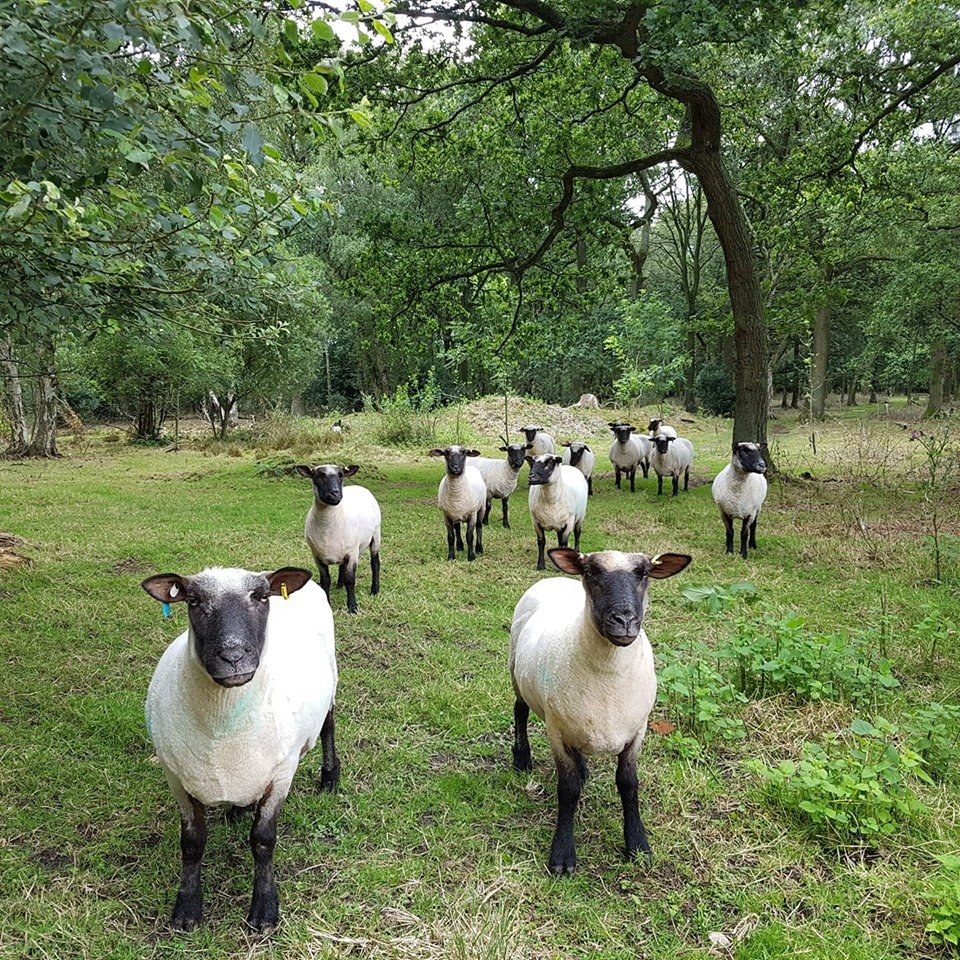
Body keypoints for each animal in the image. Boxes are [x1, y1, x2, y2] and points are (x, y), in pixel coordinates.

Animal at [142, 566, 338, 932]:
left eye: (260, 597)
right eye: (193, 601)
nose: (233, 656)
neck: (223, 728)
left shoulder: (282, 775)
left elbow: (262, 840)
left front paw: (264, 910)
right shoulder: (176, 777)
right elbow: (192, 843)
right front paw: (187, 908)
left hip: (332, 680)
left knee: (329, 723)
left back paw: (330, 777)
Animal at [295, 463, 381, 614]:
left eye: (341, 475)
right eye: (319, 476)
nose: (335, 494)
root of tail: (359, 487)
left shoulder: (353, 553)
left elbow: (350, 580)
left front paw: (352, 607)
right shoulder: (317, 555)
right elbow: (325, 580)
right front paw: (327, 604)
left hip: (376, 534)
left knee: (375, 563)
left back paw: (374, 590)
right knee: (342, 566)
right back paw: (339, 585)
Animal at [510, 547, 692, 874]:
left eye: (644, 573)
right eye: (591, 571)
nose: (624, 620)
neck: (607, 674)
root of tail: (555, 579)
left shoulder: (637, 731)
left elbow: (629, 784)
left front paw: (638, 845)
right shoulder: (556, 732)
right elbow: (567, 790)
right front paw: (562, 856)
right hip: (515, 671)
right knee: (520, 711)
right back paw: (522, 759)